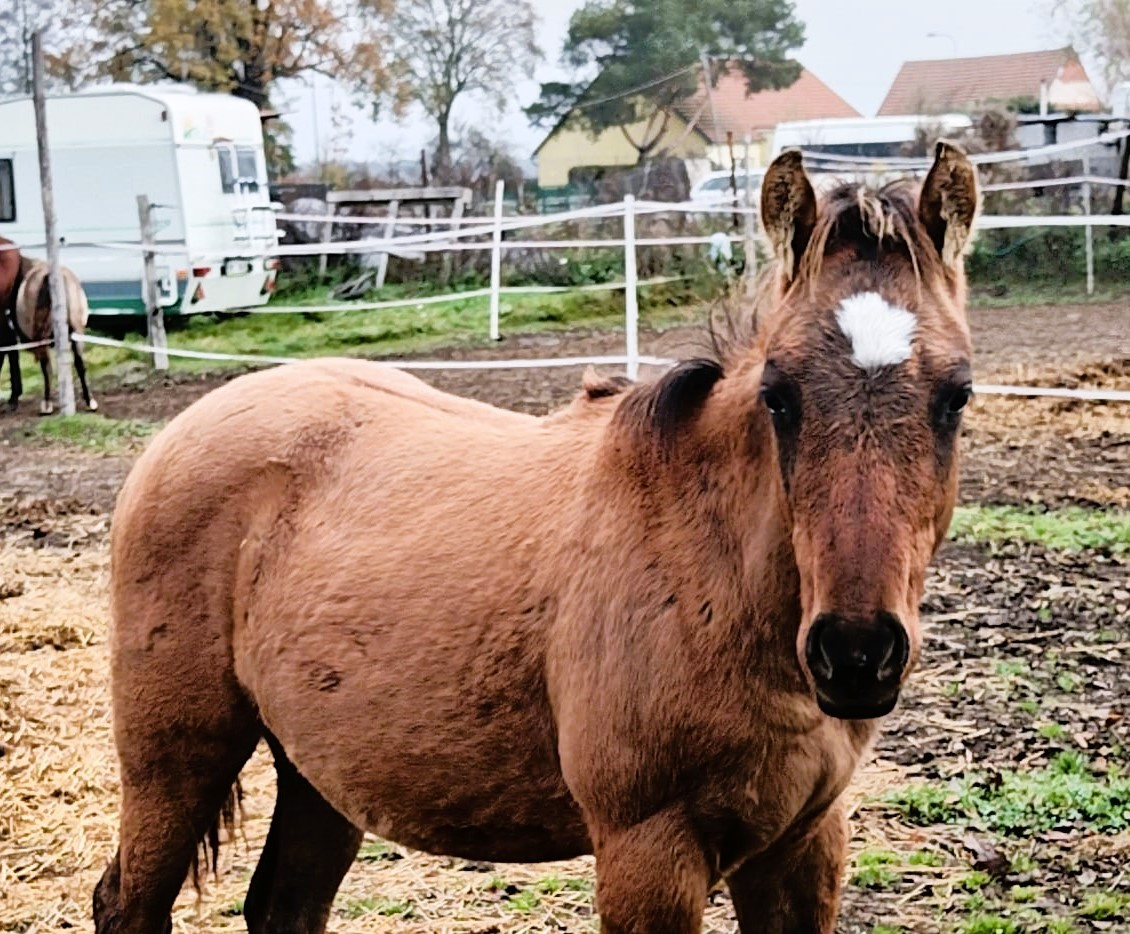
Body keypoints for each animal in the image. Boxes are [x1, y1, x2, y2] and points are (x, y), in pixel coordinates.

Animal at [94, 142, 980, 930]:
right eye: (779, 393)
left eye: (958, 395)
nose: (857, 652)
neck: (713, 573)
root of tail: (182, 430)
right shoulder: (649, 855)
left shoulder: (802, 847)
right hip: (176, 761)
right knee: (128, 900)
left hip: (316, 770)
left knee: (283, 906)